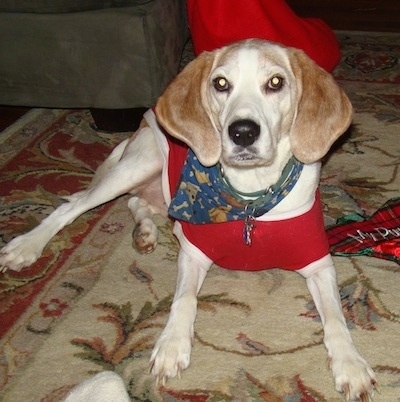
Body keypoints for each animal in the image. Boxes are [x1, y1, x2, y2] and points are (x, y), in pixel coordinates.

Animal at [0, 40, 376, 398]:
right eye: (221, 84)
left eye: (276, 82)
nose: (242, 132)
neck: (249, 201)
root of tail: (140, 126)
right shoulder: (193, 252)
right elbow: (185, 300)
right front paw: (171, 344)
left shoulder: (318, 262)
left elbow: (336, 317)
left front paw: (351, 363)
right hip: (138, 165)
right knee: (74, 205)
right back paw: (26, 246)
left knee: (137, 202)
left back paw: (145, 232)